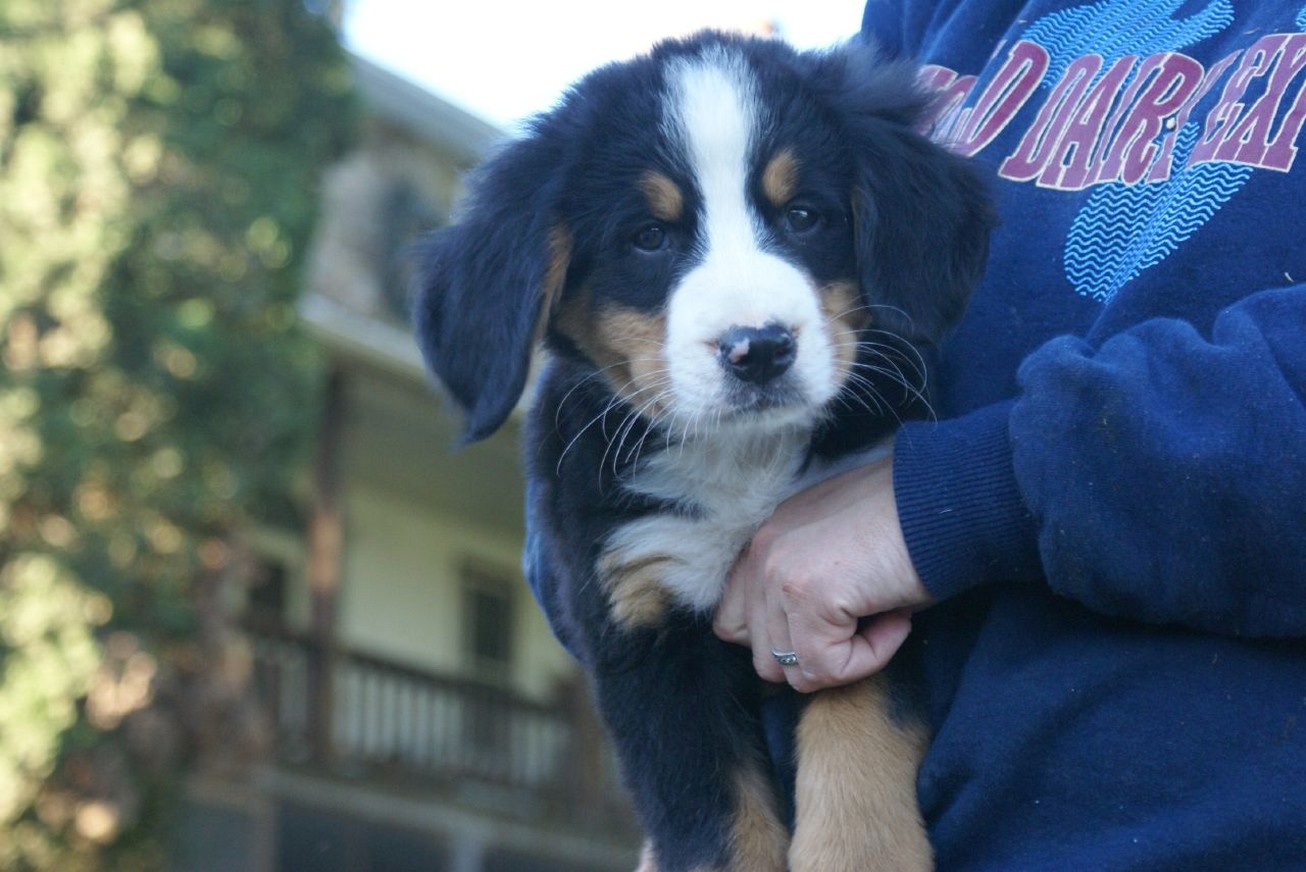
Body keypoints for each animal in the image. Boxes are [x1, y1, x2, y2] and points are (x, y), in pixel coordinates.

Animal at [412, 28, 992, 871]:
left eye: (804, 215)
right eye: (649, 237)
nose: (759, 349)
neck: (741, 462)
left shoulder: (839, 588)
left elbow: (857, 734)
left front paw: (859, 851)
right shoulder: (641, 623)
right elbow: (717, 824)